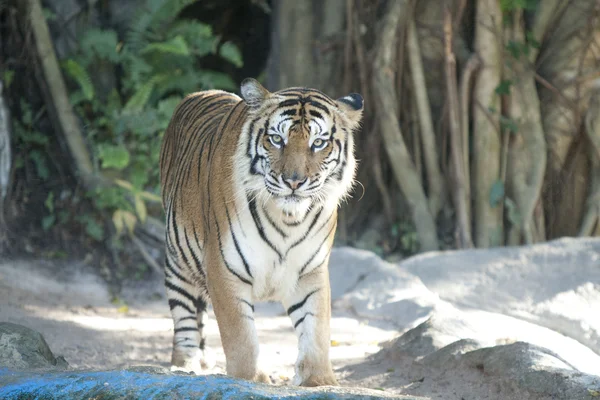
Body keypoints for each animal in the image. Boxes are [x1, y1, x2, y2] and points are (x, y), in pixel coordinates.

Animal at [159, 76, 364, 386]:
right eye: (277, 139)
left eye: (318, 143)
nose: (294, 182)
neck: (288, 219)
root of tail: (200, 92)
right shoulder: (224, 268)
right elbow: (241, 337)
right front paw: (251, 380)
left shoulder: (310, 272)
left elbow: (316, 329)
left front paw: (320, 380)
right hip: (178, 261)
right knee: (185, 315)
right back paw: (186, 364)